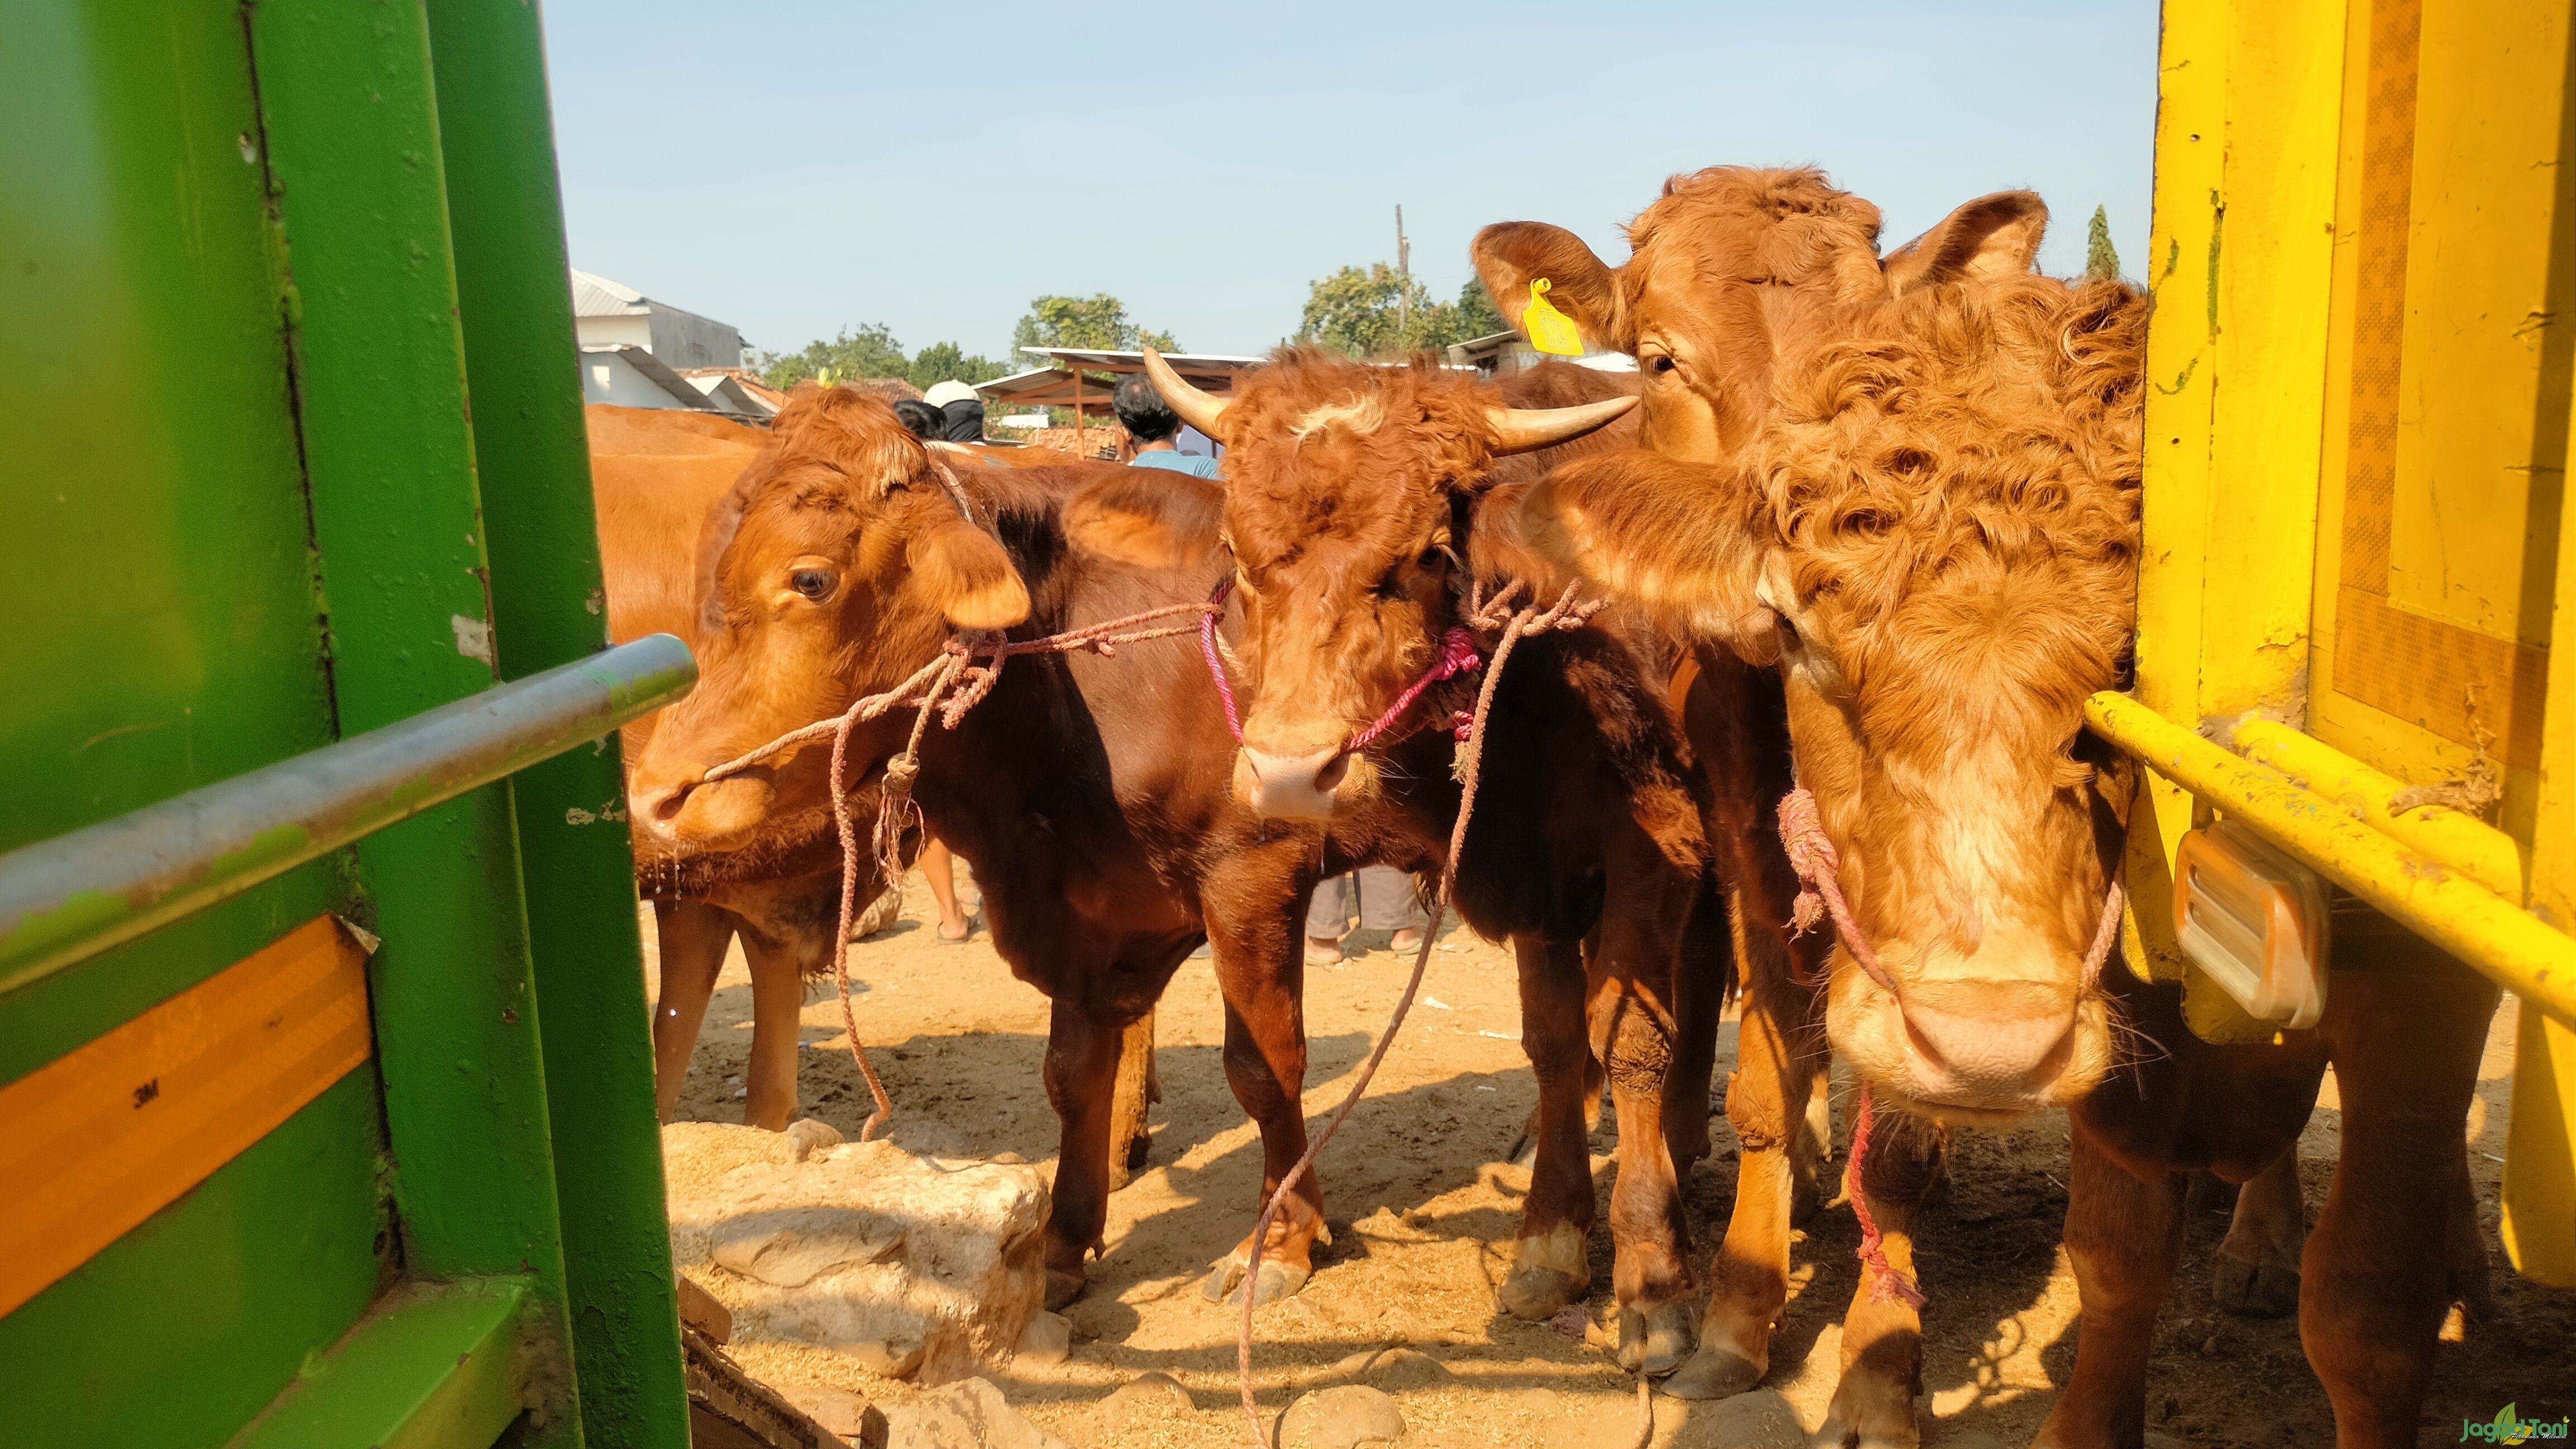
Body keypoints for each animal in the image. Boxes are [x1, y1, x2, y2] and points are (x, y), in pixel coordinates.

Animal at [621, 378, 1679, 1341]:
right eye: (716, 568)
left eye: (810, 580)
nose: (656, 795)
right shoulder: (1095, 907)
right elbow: (1073, 1070)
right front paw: (1061, 1242)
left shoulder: (1252, 876)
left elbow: (1265, 1067)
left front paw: (1283, 1242)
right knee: (1564, 1042)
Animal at [1514, 245, 2483, 1433]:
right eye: (1790, 629)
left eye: (2129, 665)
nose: (1984, 1044)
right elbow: (2116, 1253)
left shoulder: (2426, 990)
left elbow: (2367, 1310)